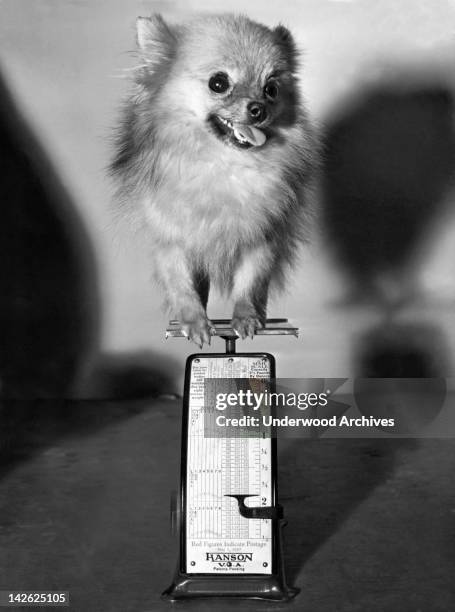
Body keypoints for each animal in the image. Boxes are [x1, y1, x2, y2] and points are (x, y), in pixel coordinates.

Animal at [111, 14, 318, 346]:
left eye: (271, 89)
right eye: (218, 83)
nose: (259, 109)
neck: (223, 165)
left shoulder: (261, 238)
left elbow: (250, 282)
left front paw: (246, 317)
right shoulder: (173, 241)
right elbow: (182, 286)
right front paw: (194, 322)